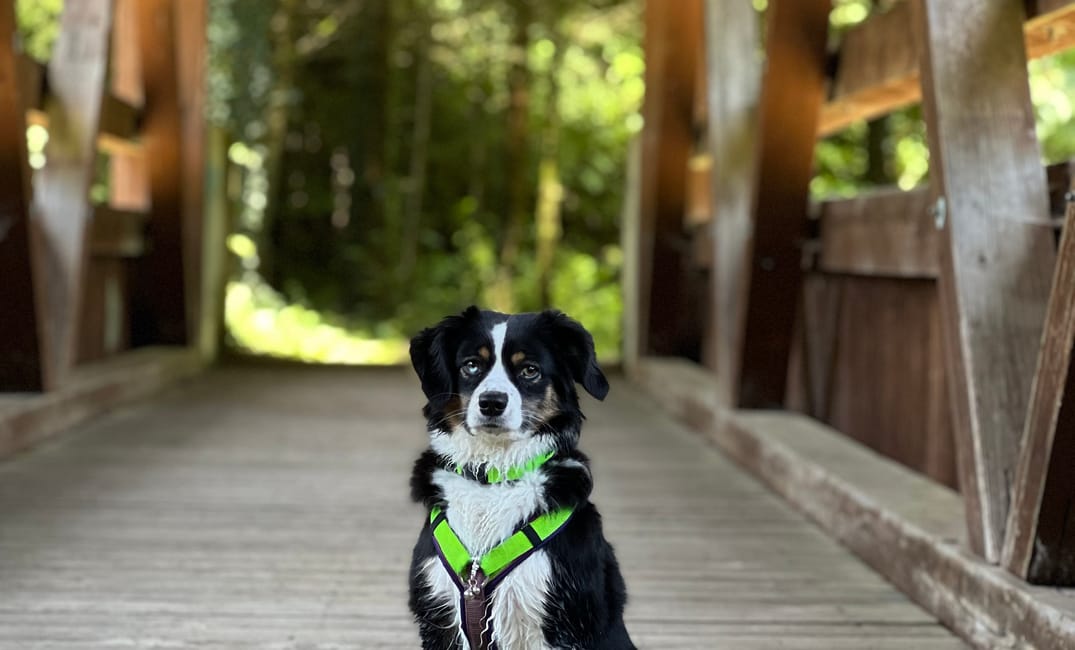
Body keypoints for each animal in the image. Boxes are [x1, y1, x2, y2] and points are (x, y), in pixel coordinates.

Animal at [406, 305, 632, 648]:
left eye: (529, 370)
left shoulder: (561, 620)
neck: (492, 478)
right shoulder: (439, 613)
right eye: (471, 365)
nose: (492, 402)